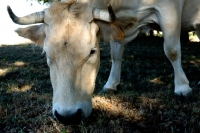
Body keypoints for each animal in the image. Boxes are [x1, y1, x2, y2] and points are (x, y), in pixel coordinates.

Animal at [6, 0, 198, 123]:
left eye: (92, 51)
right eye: (46, 53)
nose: (68, 116)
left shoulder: (169, 10)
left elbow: (172, 50)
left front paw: (182, 87)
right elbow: (116, 53)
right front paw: (111, 84)